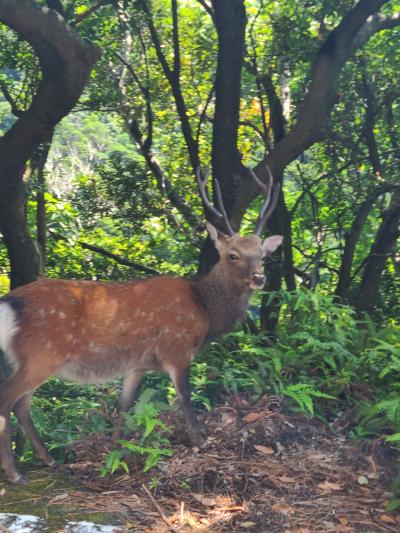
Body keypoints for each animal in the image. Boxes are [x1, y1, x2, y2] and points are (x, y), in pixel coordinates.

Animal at [0, 166, 282, 482]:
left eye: (262, 255)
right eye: (233, 255)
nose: (260, 278)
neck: (204, 309)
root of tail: (8, 304)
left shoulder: (137, 364)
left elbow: (124, 405)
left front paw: (114, 451)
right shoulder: (177, 347)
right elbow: (185, 396)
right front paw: (200, 441)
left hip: (35, 359)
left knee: (22, 403)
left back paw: (48, 459)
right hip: (41, 354)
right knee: (7, 398)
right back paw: (14, 472)